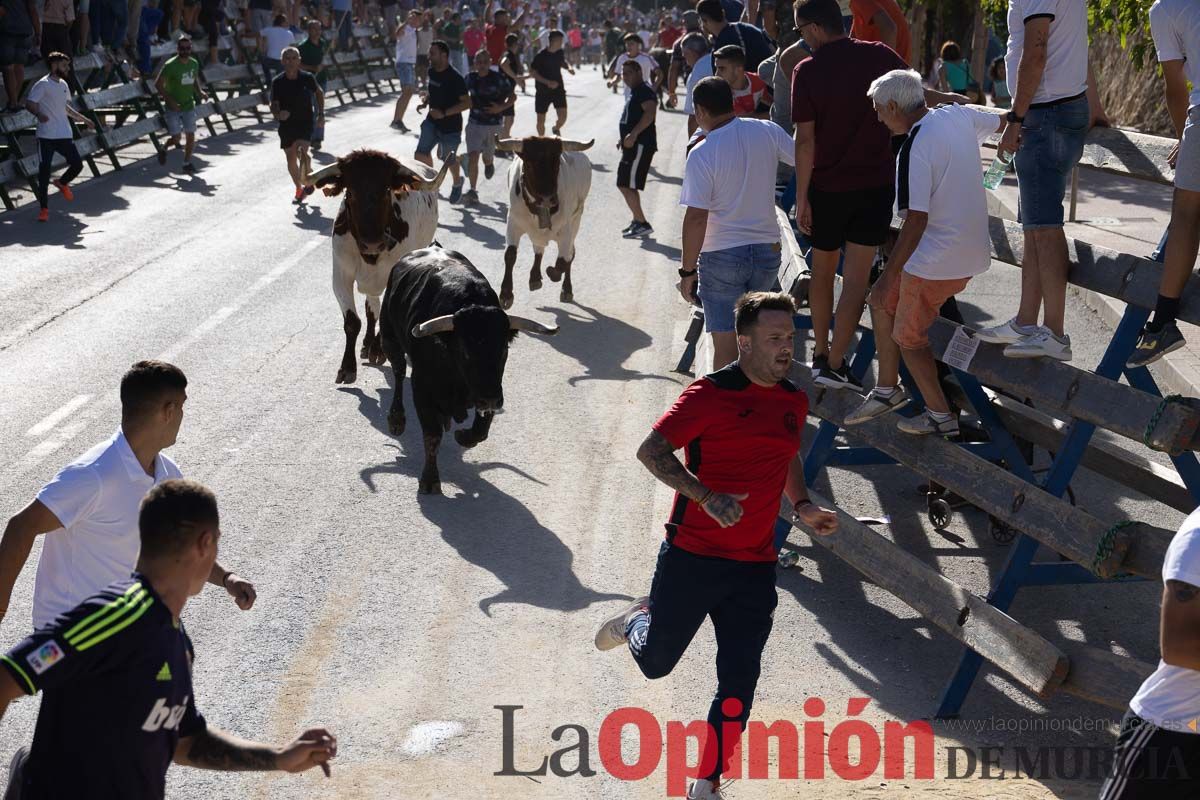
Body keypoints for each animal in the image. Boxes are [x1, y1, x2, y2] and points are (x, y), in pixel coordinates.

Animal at [300, 152, 451, 388]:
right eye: (350, 192)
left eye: (386, 190)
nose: (372, 243)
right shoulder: (340, 276)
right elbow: (353, 322)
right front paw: (347, 368)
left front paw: (378, 351)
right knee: (372, 307)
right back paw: (367, 343)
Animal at [379, 247, 556, 494]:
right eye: (464, 350)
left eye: (504, 348)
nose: (489, 398)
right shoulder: (422, 389)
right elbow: (432, 436)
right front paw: (430, 480)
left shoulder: (492, 388)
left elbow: (481, 430)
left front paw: (464, 436)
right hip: (389, 337)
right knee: (398, 371)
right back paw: (396, 419)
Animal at [494, 136, 592, 311]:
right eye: (529, 163)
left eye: (557, 163)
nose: (548, 198)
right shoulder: (512, 223)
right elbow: (510, 255)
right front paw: (506, 295)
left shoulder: (566, 231)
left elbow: (562, 262)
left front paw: (553, 273)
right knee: (538, 249)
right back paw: (534, 278)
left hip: (576, 220)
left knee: (569, 255)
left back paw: (566, 289)